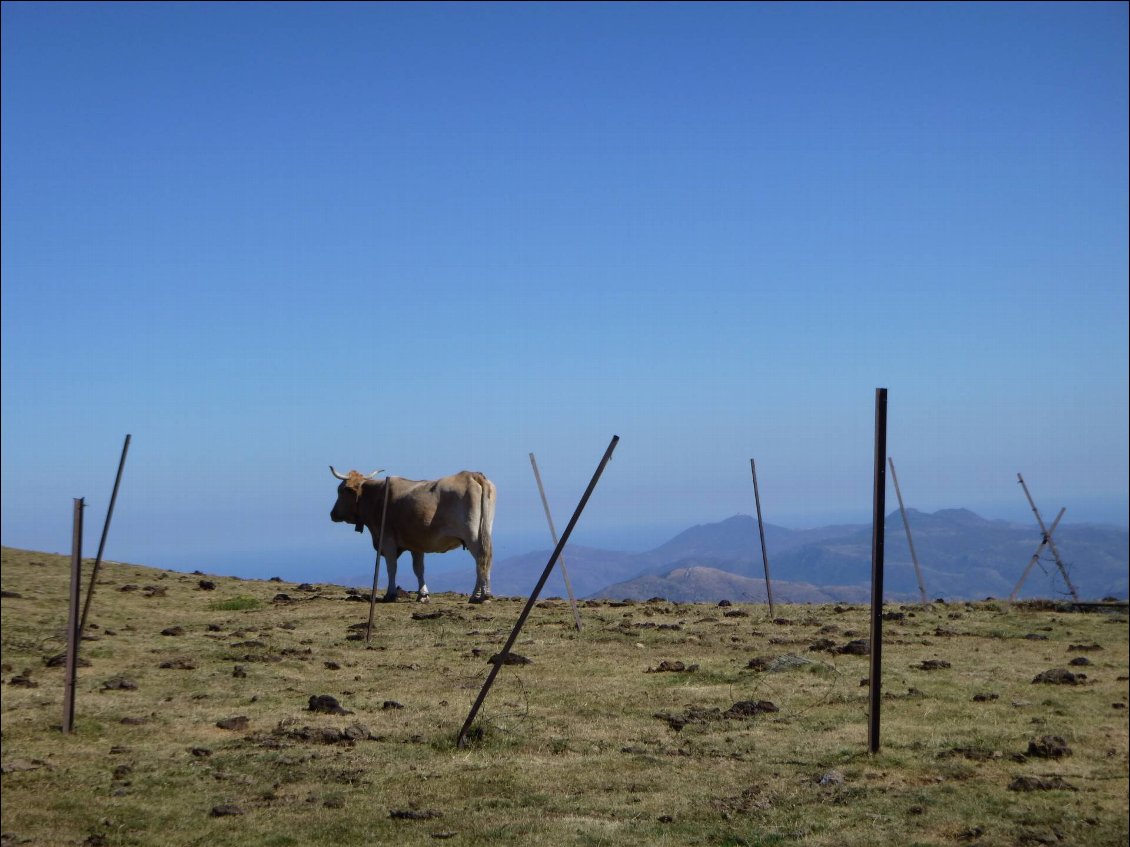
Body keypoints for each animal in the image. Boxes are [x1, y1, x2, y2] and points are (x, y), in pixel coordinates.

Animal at [329, 472, 499, 605]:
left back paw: (481, 595)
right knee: (485, 561)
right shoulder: (416, 544)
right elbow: (418, 569)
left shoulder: (388, 540)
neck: (376, 496)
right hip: (484, 532)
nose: (333, 514)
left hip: (472, 536)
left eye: (340, 490)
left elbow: (392, 567)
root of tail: (471, 474)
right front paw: (423, 595)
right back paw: (480, 595)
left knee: (481, 559)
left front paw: (391, 594)